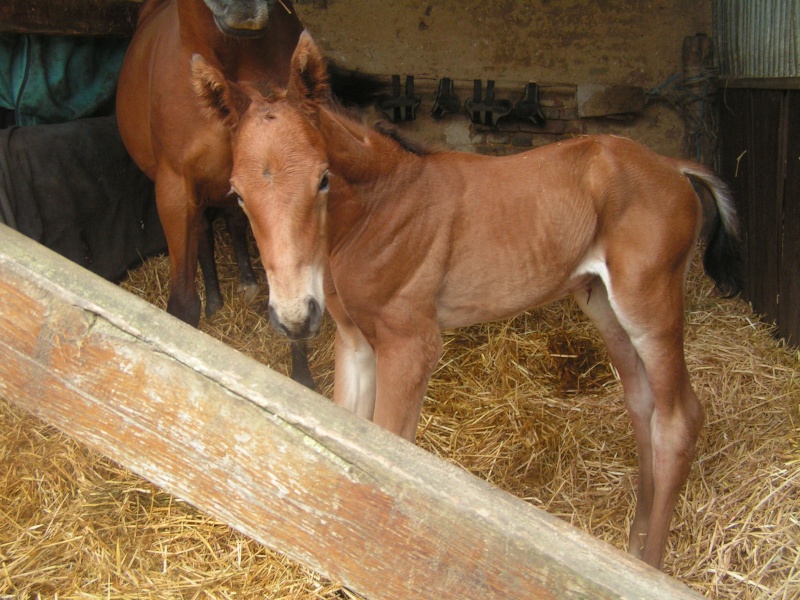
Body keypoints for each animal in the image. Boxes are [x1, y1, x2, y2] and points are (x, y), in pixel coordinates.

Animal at [194, 35, 744, 568]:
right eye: (238, 195)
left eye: (323, 178)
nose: (294, 315)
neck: (380, 207)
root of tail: (672, 166)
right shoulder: (354, 341)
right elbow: (352, 433)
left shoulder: (411, 345)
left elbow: (391, 450)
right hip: (603, 305)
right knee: (643, 406)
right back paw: (633, 546)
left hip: (649, 303)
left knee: (678, 420)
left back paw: (649, 565)